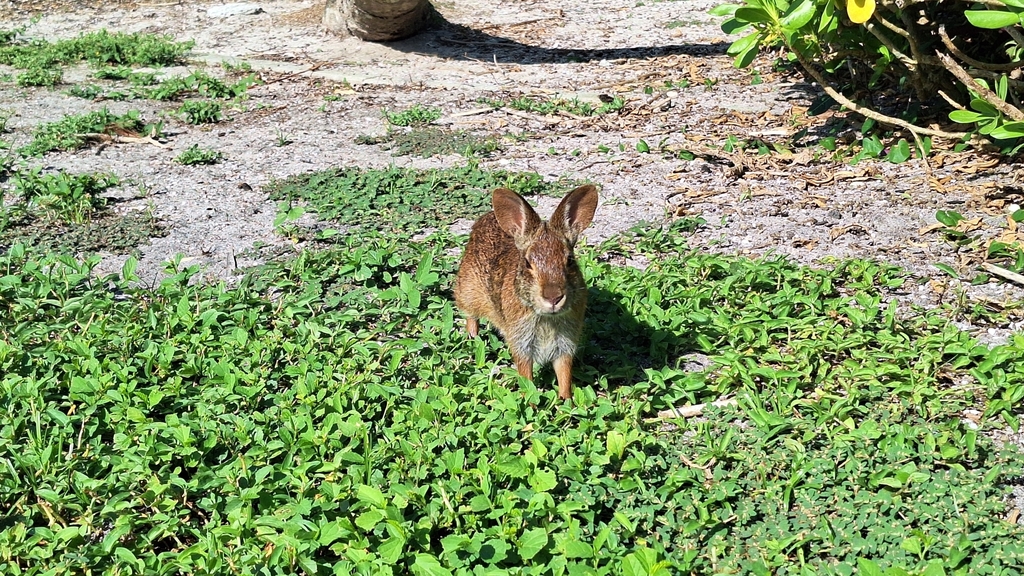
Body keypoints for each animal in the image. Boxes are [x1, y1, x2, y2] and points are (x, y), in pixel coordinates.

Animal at [454, 185, 599, 400]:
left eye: (570, 260)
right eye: (527, 263)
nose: (553, 297)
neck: (547, 318)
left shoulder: (565, 344)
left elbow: (564, 374)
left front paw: (566, 400)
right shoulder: (521, 343)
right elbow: (526, 375)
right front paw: (530, 401)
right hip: (469, 292)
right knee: (471, 317)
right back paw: (473, 338)